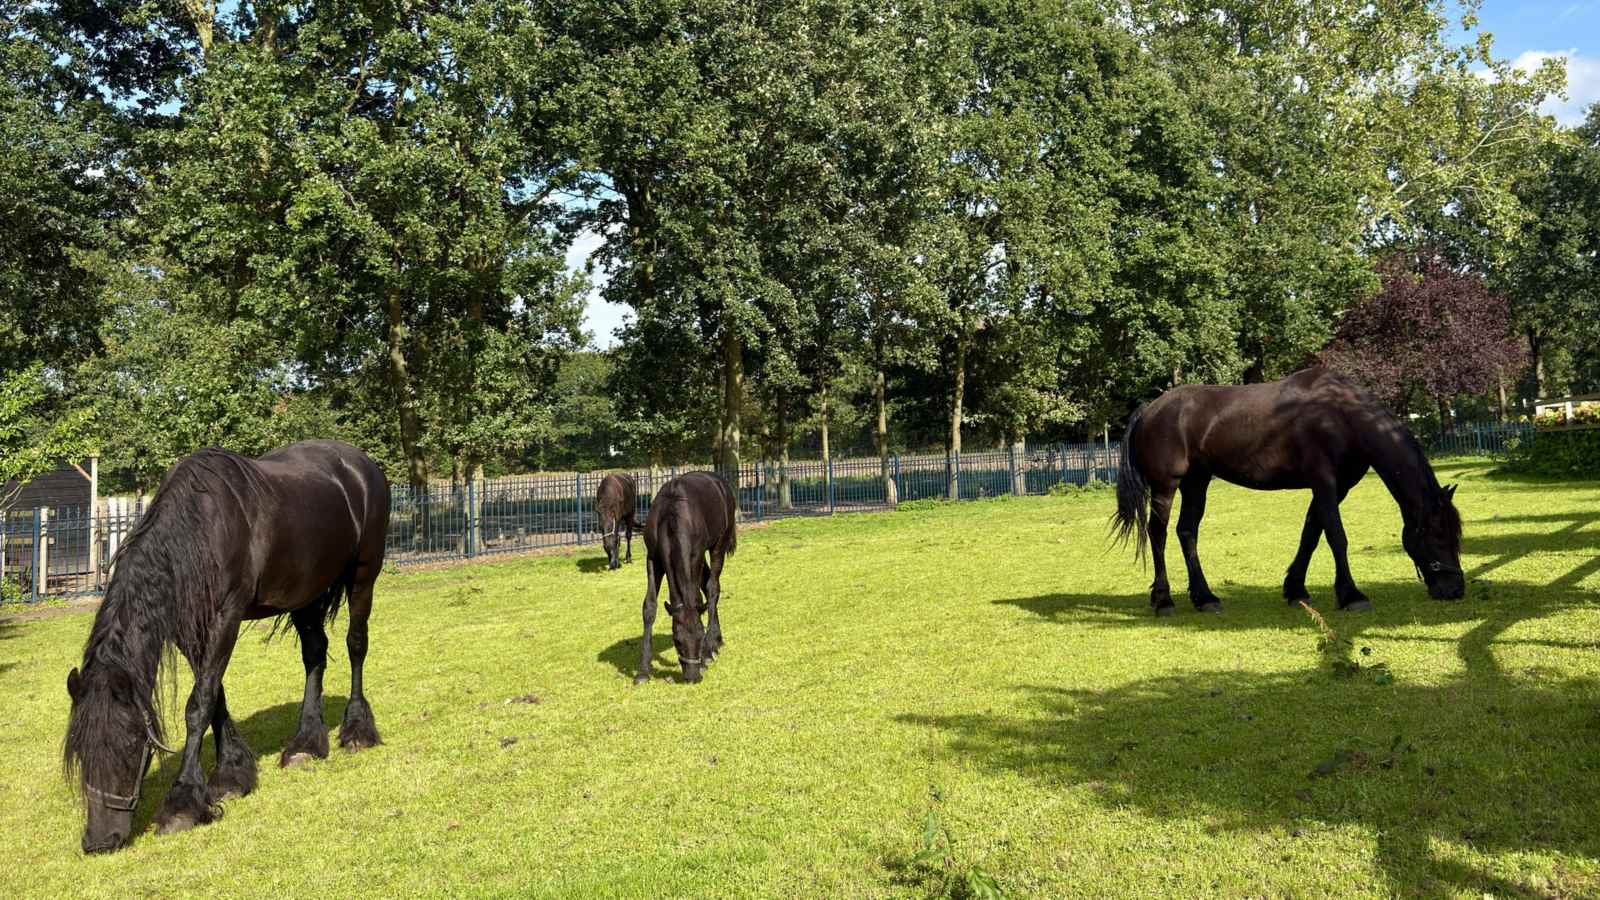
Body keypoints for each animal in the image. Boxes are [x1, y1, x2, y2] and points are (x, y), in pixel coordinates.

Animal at [62, 440, 389, 853]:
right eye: (80, 749)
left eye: (129, 743)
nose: (99, 841)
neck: (197, 533)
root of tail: (360, 463)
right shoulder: (189, 630)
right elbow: (213, 695)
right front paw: (232, 774)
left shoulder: (226, 618)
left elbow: (198, 704)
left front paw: (182, 803)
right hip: (305, 593)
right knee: (315, 653)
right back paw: (305, 744)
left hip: (364, 574)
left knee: (355, 645)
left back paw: (357, 731)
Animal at [636, 471, 736, 684]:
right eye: (677, 640)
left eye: (699, 636)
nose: (693, 677)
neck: (671, 518)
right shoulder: (653, 558)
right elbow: (649, 607)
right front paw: (643, 671)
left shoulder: (695, 556)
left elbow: (697, 597)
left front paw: (706, 653)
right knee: (707, 586)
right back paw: (717, 640)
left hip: (718, 545)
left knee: (713, 588)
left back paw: (712, 645)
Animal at [1111, 367, 1464, 617]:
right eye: (1436, 535)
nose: (1455, 589)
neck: (1341, 415)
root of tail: (1150, 409)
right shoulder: (1324, 483)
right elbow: (1336, 536)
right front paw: (1352, 595)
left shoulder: (1335, 489)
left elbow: (1311, 534)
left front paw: (1296, 590)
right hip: (1166, 486)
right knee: (1158, 534)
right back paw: (1163, 600)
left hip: (1197, 483)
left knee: (1187, 532)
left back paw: (1205, 598)